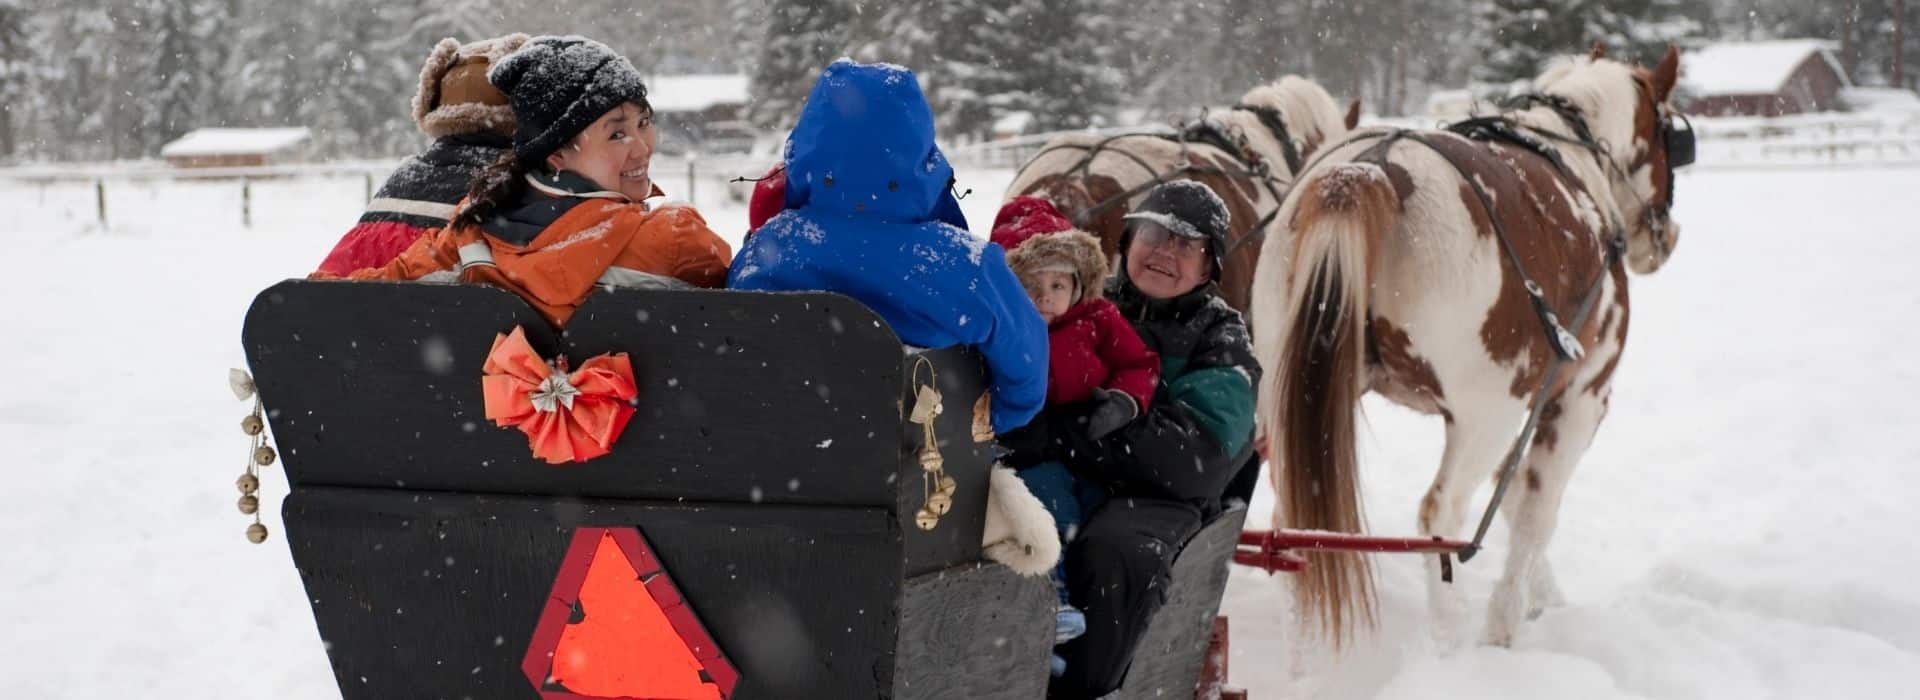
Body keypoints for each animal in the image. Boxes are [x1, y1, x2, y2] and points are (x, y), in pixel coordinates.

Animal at [1251, 46, 1689, 644]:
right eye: (1670, 136)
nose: (1665, 238)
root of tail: (1368, 172)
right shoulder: (1577, 399)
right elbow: (1533, 513)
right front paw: (1505, 623)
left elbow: (1513, 500)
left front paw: (1542, 595)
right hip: (1488, 414)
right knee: (1441, 516)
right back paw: (1450, 636)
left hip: (1290, 395)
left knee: (1295, 517)